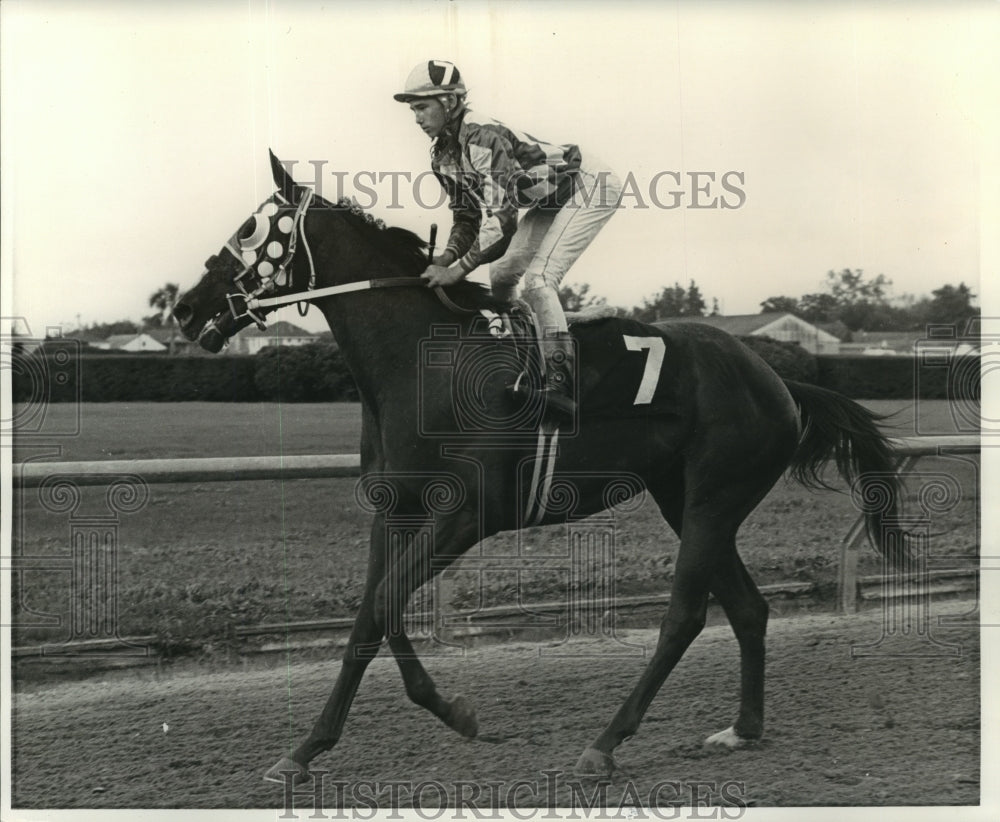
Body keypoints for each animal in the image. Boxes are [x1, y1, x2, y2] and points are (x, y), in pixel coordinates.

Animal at [174, 151, 908, 788]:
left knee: (685, 616)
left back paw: (605, 744)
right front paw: (311, 748)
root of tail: (779, 380)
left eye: (247, 229)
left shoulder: (466, 515)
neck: (423, 365)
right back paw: (743, 727)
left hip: (711, 498)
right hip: (687, 498)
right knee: (749, 608)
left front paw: (446, 715)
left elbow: (385, 606)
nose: (184, 308)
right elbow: (371, 615)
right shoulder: (394, 509)